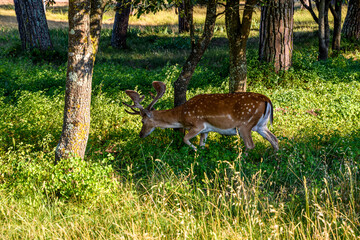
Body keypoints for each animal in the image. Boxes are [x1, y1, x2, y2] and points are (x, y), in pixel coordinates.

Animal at [123, 81, 278, 151]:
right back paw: (275, 159)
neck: (181, 116)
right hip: (261, 125)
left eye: (143, 121)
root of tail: (267, 100)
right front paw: (200, 154)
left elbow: (185, 139)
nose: (141, 134)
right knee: (274, 139)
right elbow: (202, 143)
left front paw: (195, 151)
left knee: (250, 145)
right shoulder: (206, 130)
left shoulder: (198, 125)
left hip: (245, 124)